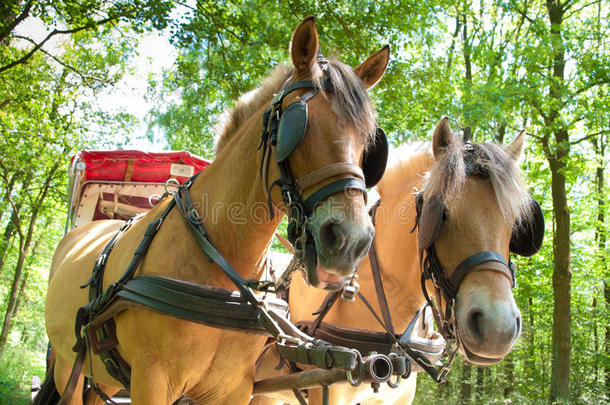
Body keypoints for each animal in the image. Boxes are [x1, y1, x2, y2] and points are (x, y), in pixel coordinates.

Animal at [40, 16, 390, 404]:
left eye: (369, 143)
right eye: (299, 125)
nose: (350, 241)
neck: (221, 262)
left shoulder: (234, 387)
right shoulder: (152, 378)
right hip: (67, 370)